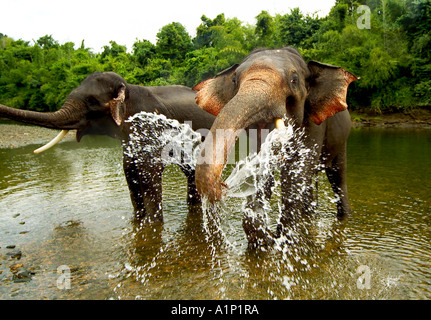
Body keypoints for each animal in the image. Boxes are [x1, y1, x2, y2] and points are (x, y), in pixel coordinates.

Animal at [0, 72, 216, 222]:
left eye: (91, 101)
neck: (128, 89)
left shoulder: (148, 128)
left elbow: (149, 176)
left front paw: (153, 224)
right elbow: (130, 173)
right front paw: (138, 222)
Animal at [193, 47, 358, 248]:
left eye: (294, 80)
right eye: (234, 80)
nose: (223, 185)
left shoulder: (314, 125)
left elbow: (296, 172)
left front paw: (283, 239)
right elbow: (262, 173)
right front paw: (266, 239)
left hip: (342, 140)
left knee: (337, 175)